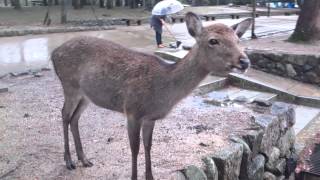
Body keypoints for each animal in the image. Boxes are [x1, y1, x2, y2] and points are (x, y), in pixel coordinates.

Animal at [52, 11, 252, 179]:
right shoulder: (132, 111)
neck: (162, 91)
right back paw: (69, 161)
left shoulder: (150, 118)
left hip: (86, 95)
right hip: (69, 85)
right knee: (64, 114)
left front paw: (150, 176)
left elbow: (148, 146)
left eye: (238, 39)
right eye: (213, 40)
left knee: (74, 118)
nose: (245, 61)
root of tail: (54, 53)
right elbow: (135, 148)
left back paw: (84, 159)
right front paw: (134, 177)